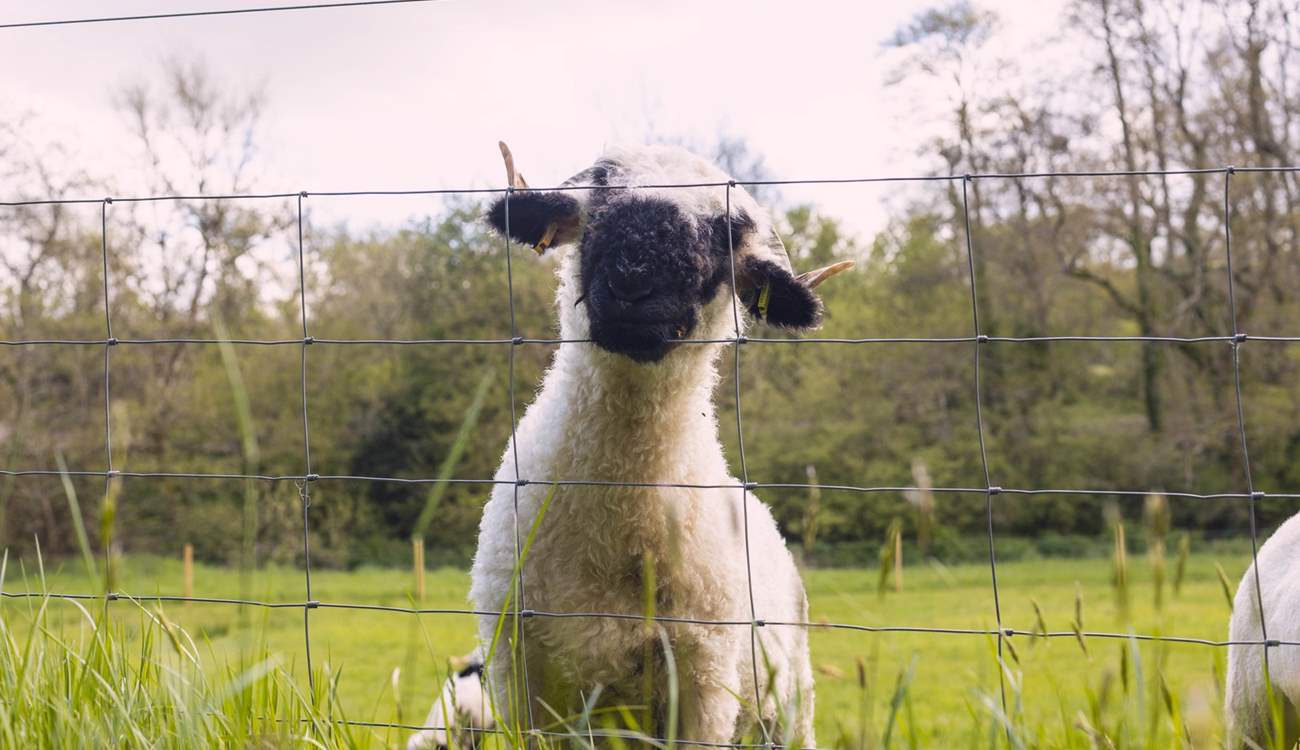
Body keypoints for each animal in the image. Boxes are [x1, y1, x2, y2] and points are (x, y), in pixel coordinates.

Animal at [442, 143, 852, 747]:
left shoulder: (704, 679)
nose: (633, 281)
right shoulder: (521, 679)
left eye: (726, 231)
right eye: (597, 204)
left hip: (788, 709)